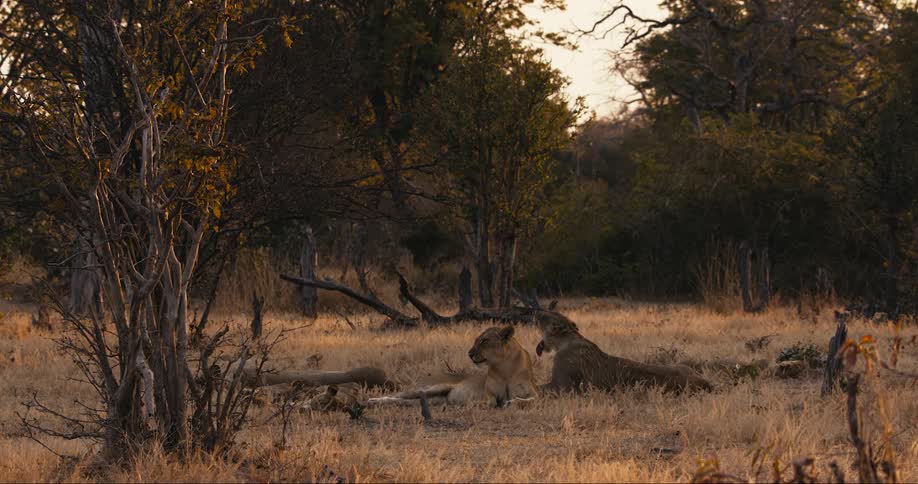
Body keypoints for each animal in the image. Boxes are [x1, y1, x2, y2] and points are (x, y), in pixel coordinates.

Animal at [368, 325, 537, 407]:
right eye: (477, 340)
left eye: (484, 341)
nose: (469, 354)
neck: (504, 368)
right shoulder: (487, 394)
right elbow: (490, 401)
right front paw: (477, 404)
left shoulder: (534, 394)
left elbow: (528, 401)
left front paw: (511, 403)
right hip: (433, 388)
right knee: (397, 395)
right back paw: (372, 400)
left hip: (430, 399)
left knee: (403, 401)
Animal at [534, 313, 713, 393]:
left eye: (544, 317)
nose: (535, 315)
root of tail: (705, 382)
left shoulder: (562, 386)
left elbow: (537, 389)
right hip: (683, 366)